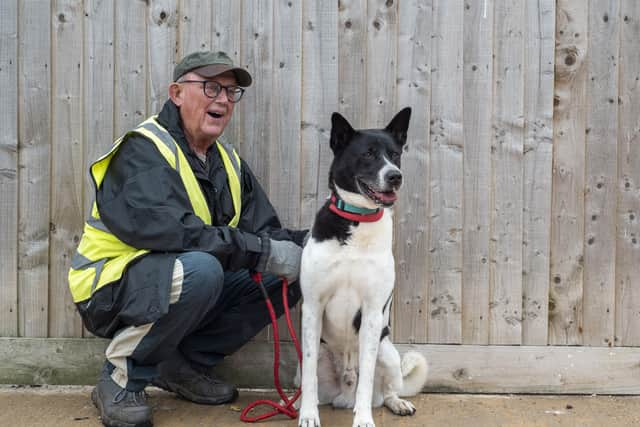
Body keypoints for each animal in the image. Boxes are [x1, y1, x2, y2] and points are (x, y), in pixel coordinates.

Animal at [298, 108, 428, 427]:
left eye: (395, 154)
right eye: (367, 154)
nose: (395, 176)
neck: (357, 221)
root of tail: (342, 396)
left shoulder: (371, 312)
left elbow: (366, 378)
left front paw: (364, 419)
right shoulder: (313, 307)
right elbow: (309, 376)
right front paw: (307, 416)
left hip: (388, 353)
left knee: (384, 390)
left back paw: (395, 403)